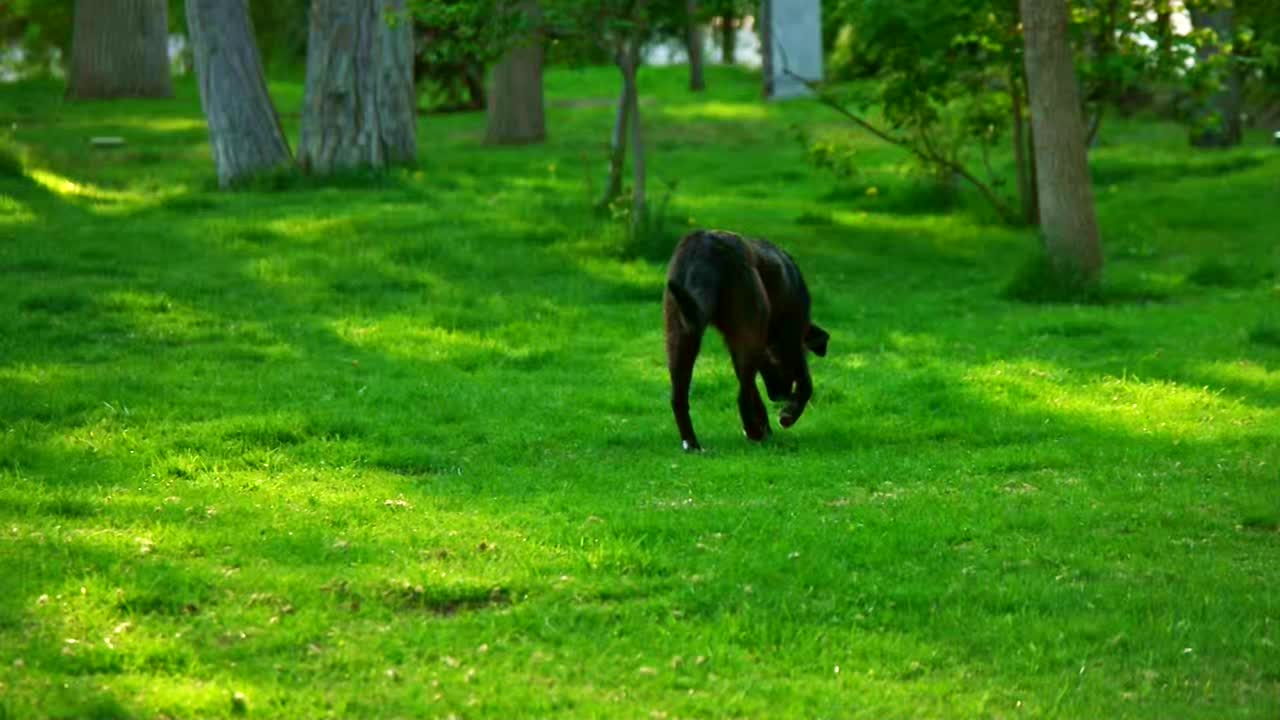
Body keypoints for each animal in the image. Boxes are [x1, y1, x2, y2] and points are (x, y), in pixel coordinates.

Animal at [660, 226, 829, 448]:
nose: (779, 396)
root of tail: (704, 247)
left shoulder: (740, 347)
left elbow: (754, 390)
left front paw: (767, 426)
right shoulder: (790, 339)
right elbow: (806, 382)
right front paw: (787, 416)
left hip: (681, 334)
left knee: (679, 397)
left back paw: (692, 444)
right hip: (750, 331)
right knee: (742, 395)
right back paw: (752, 432)